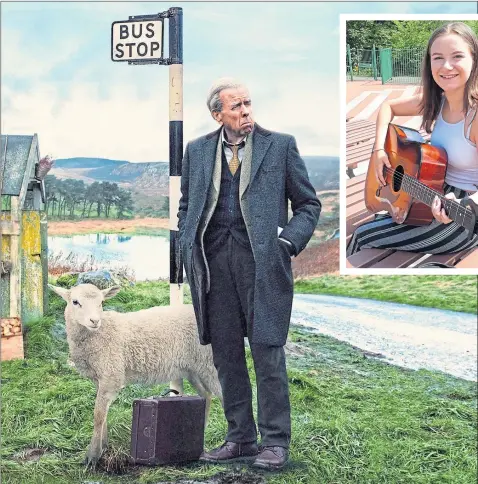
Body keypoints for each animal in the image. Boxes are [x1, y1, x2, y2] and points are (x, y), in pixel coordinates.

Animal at [47, 282, 223, 466]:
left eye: (101, 302)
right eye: (75, 302)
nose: (94, 321)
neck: (100, 333)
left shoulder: (112, 375)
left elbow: (98, 415)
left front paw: (92, 456)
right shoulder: (100, 378)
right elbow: (104, 413)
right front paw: (103, 446)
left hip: (208, 364)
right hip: (193, 368)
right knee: (206, 395)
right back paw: (201, 434)